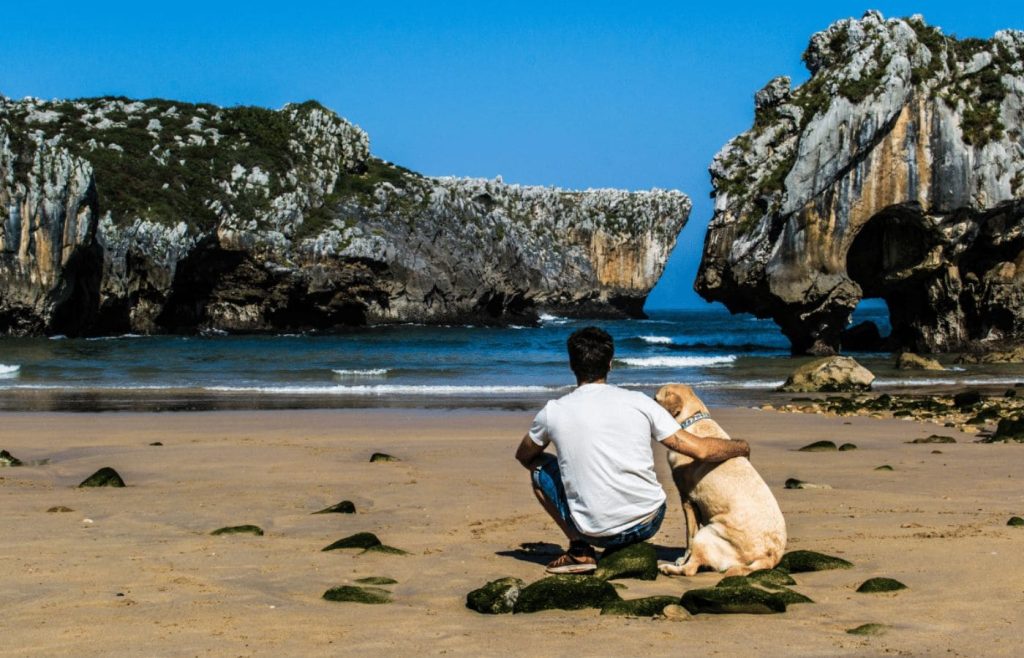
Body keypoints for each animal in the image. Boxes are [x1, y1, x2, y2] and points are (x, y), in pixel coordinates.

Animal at [655, 382, 782, 573]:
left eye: (655, 399)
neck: (692, 419)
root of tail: (769, 557)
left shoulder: (687, 499)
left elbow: (689, 537)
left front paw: (682, 559)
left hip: (707, 533)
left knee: (690, 569)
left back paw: (668, 568)